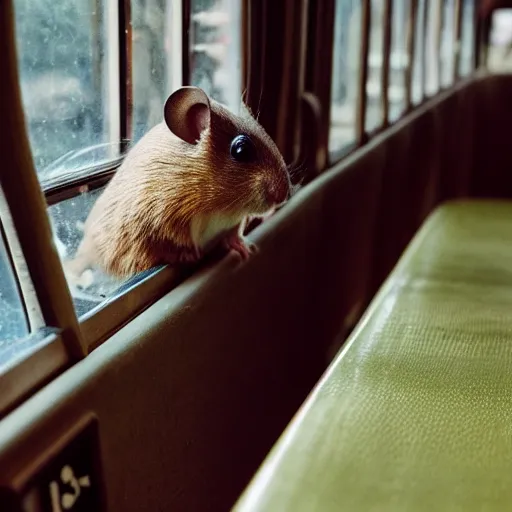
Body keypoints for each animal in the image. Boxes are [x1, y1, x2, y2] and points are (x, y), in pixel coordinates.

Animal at [64, 86, 292, 282]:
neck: (220, 207)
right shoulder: (156, 222)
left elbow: (234, 235)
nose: (284, 196)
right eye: (241, 149)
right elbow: (169, 245)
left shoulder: (233, 221)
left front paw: (245, 249)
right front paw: (190, 255)